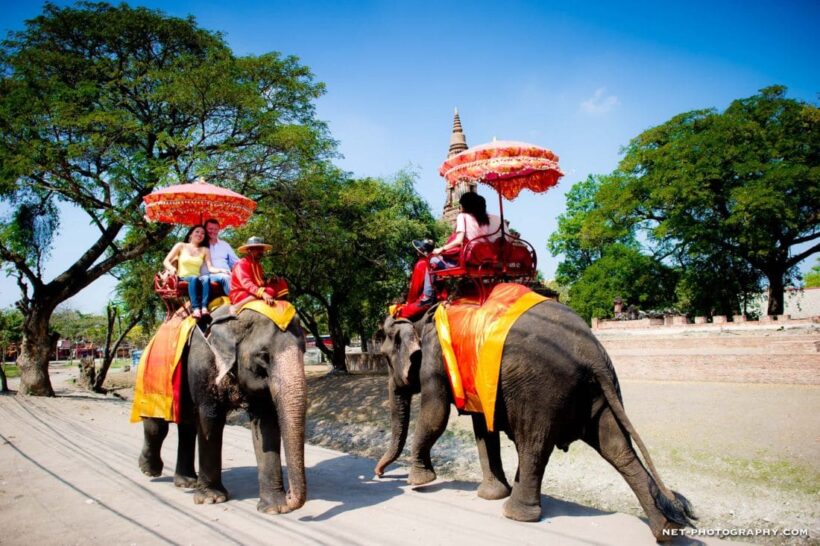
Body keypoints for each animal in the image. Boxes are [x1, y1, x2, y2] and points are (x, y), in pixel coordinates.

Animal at [138, 305, 308, 514]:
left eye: (304, 352)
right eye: (263, 356)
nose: (291, 495)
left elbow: (266, 423)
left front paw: (275, 508)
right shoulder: (202, 364)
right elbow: (210, 419)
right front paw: (212, 499)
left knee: (186, 428)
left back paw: (186, 482)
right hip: (152, 381)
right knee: (157, 427)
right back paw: (150, 470)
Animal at [374, 300, 696, 541]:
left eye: (386, 359)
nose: (380, 474)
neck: (419, 318)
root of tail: (592, 352)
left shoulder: (435, 360)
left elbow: (435, 414)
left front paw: (419, 481)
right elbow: (483, 429)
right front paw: (490, 495)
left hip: (541, 389)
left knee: (533, 445)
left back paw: (516, 514)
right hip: (597, 393)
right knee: (618, 449)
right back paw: (667, 530)